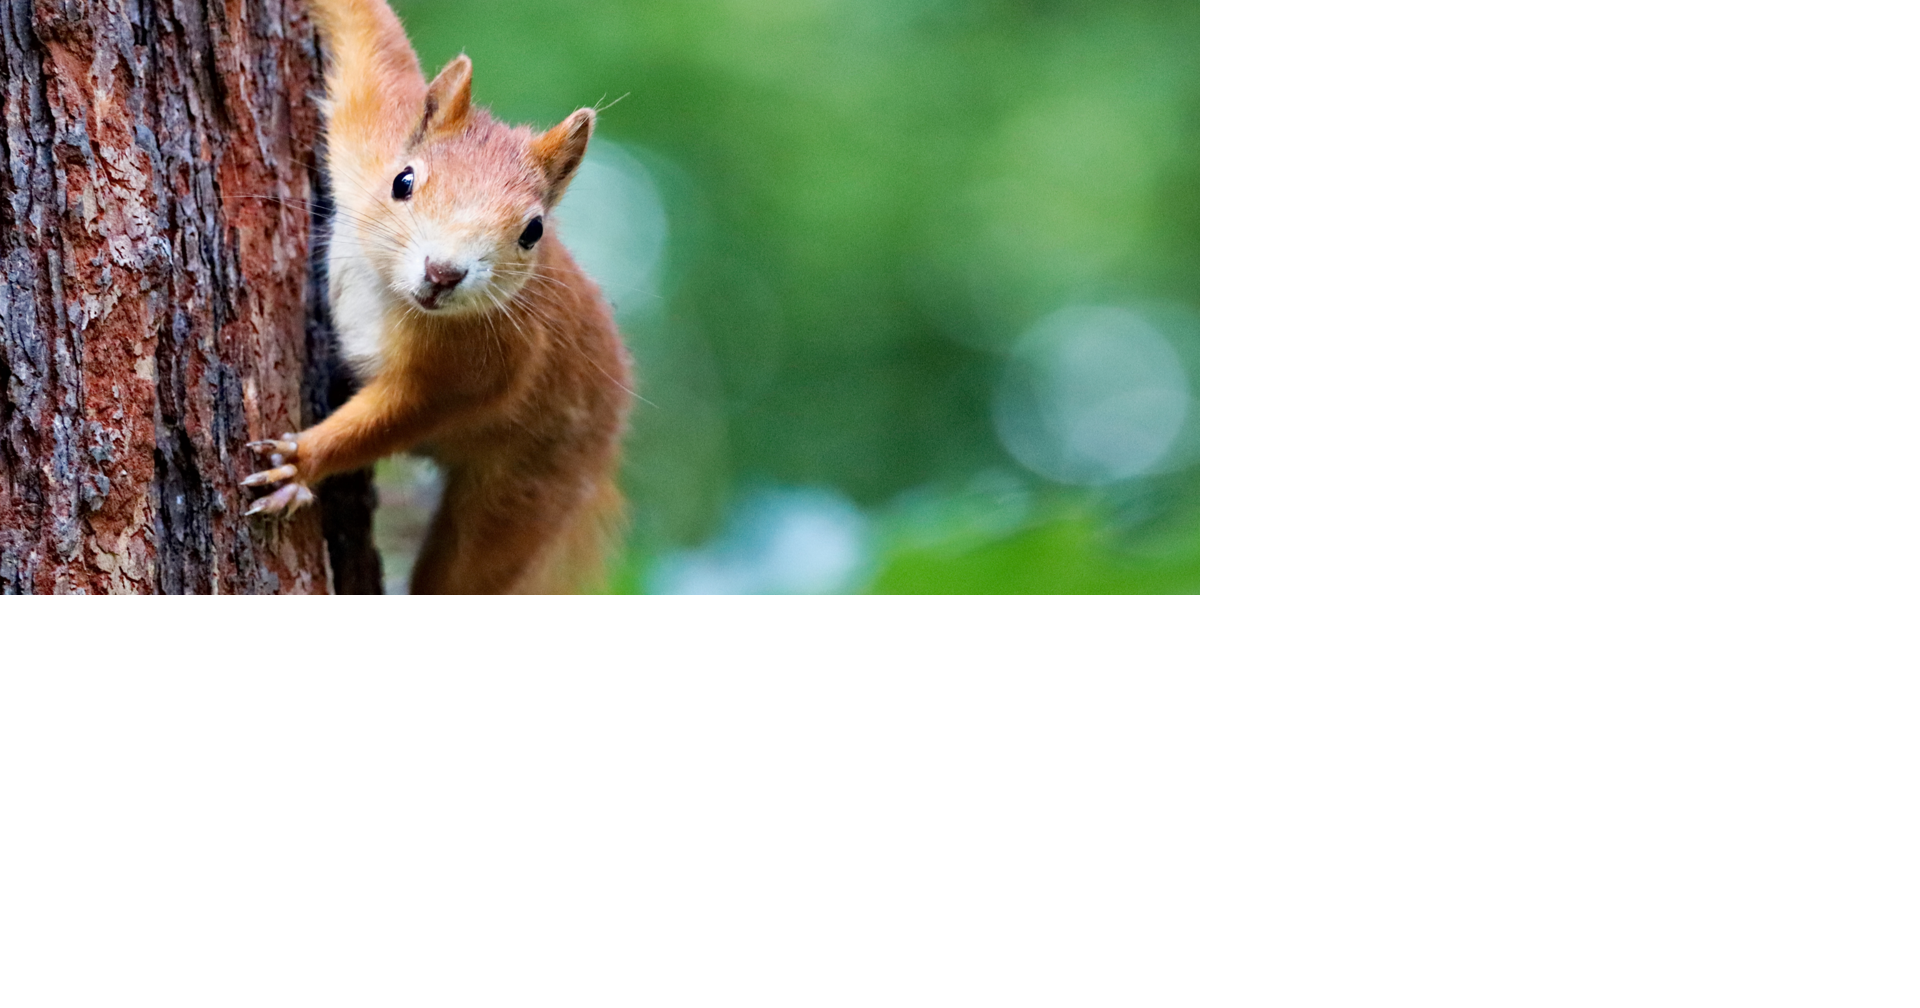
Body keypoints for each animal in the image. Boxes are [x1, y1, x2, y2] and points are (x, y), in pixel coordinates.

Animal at [244, 0, 632, 594]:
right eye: (403, 181)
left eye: (533, 231)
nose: (443, 272)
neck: (390, 294)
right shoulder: (371, 126)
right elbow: (372, 38)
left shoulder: (481, 366)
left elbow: (397, 416)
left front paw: (302, 461)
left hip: (529, 490)